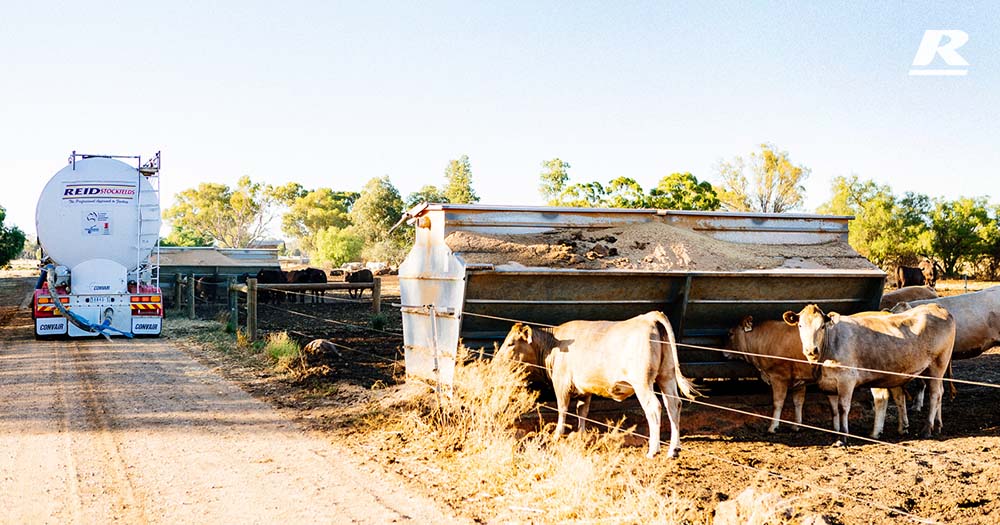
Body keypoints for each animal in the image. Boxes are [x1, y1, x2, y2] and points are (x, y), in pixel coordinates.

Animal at [496, 314, 700, 456]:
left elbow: (563, 409)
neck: (554, 344)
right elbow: (582, 411)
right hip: (666, 376)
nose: (497, 360)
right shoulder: (583, 389)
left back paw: (653, 450)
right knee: (674, 405)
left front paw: (557, 434)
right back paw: (674, 449)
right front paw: (580, 435)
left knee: (654, 407)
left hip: (642, 382)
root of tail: (650, 316)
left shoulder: (561, 383)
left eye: (511, 343)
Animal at [728, 318, 908, 436]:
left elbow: (778, 403)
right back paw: (902, 427)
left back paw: (875, 432)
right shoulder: (799, 379)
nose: (723, 351)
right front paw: (797, 425)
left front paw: (773, 427)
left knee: (881, 398)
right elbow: (798, 401)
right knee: (899, 395)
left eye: (730, 333)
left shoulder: (779, 377)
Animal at [784, 300, 956, 444]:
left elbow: (843, 408)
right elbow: (833, 411)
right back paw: (937, 425)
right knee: (939, 392)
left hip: (937, 365)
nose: (811, 350)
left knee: (934, 394)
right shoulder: (828, 384)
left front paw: (843, 437)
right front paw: (836, 433)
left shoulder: (847, 380)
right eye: (800, 326)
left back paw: (927, 429)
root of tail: (937, 307)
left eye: (821, 326)